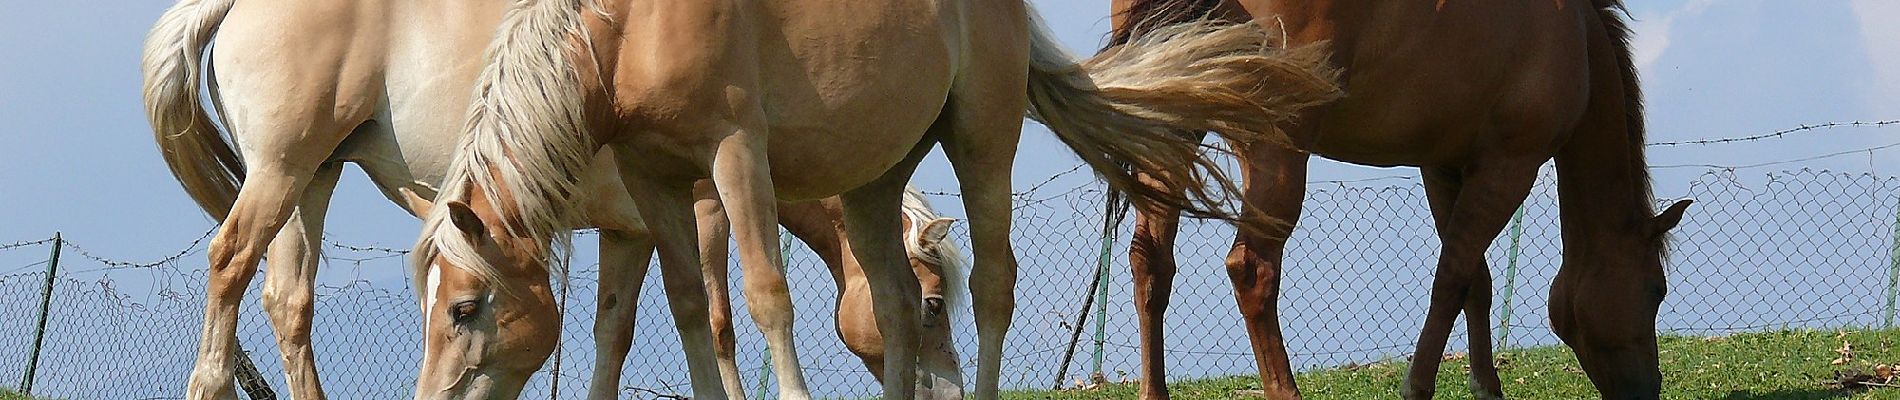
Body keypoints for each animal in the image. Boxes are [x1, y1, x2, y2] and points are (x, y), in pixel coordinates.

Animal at [140, 0, 965, 396]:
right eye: (933, 304)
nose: (950, 391)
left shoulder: (629, 231)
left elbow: (613, 332)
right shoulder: (705, 211)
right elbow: (722, 321)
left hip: (312, 176)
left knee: (289, 300)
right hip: (281, 170)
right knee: (229, 262)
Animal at [408, 0, 1345, 398]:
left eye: (464, 308)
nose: (434, 399)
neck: (627, 27)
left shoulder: (733, 157)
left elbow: (764, 298)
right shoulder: (654, 179)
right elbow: (688, 310)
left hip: (982, 136)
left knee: (995, 285)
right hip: (875, 176)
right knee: (889, 299)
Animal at [1109, 0, 1702, 400]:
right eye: (1657, 290)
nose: (1648, 390)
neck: (1574, 36)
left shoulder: (1445, 168)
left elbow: (1476, 281)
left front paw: (1486, 387)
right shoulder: (1508, 168)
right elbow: (1451, 280)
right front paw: (1419, 384)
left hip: (1172, 123)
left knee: (1150, 263)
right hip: (1276, 145)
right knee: (1252, 269)